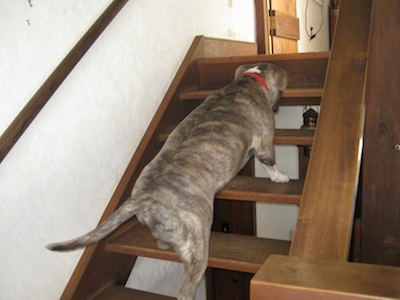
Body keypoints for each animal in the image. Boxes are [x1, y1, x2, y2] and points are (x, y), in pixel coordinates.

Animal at [48, 62, 290, 298]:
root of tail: (145, 197)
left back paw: (163, 243)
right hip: (197, 246)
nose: (278, 107)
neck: (248, 80)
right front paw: (281, 177)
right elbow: (270, 164)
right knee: (187, 287)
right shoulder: (265, 143)